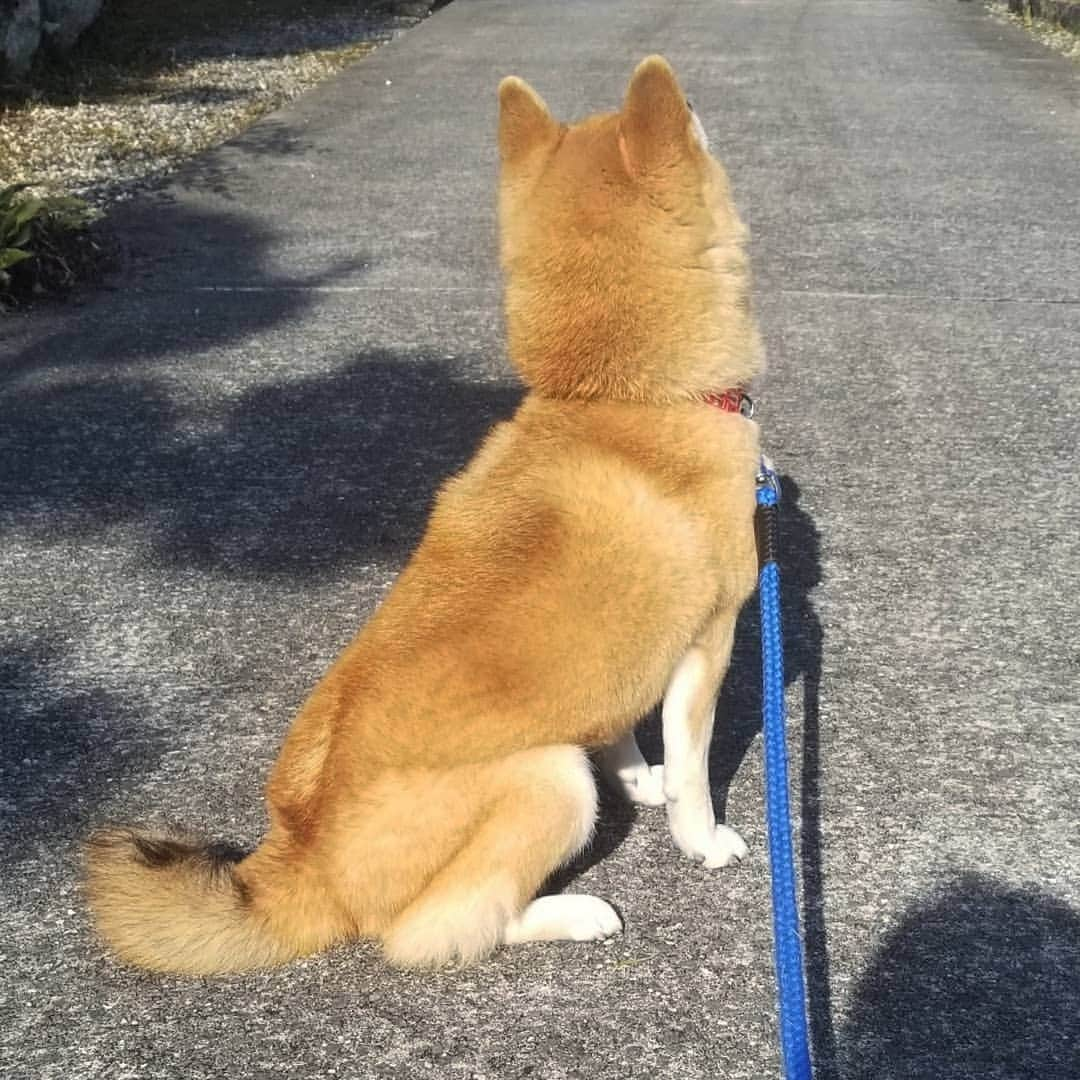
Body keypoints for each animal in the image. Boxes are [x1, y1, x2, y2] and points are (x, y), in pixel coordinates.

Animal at [86, 54, 760, 976]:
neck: (623, 402)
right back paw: (571, 912)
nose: (702, 103)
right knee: (438, 931)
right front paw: (702, 839)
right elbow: (693, 773)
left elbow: (618, 725)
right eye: (690, 114)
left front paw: (637, 778)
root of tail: (308, 863)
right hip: (548, 782)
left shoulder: (629, 646)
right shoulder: (709, 642)